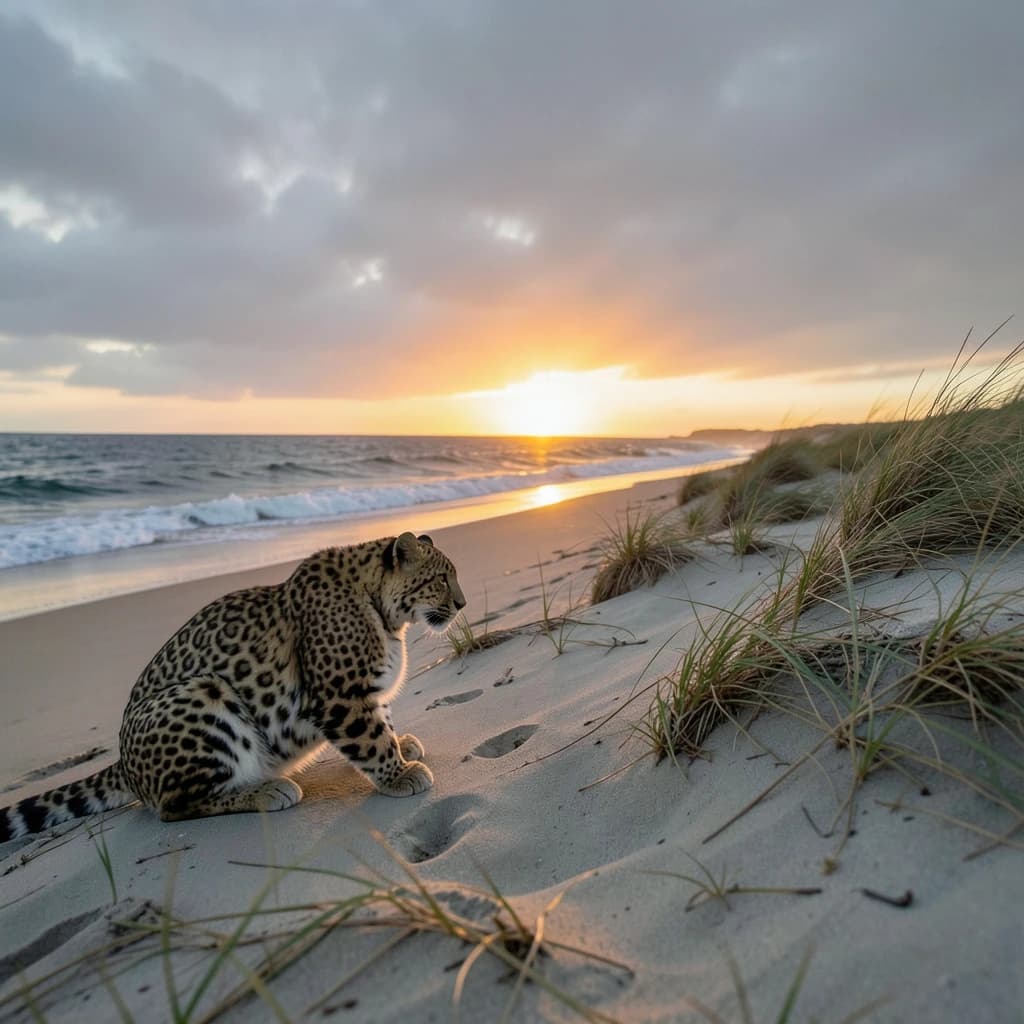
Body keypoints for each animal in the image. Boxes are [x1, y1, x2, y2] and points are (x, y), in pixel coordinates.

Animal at [0, 532, 465, 840]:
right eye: (442, 579)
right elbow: (369, 738)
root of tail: (122, 763)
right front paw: (399, 774)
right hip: (204, 695)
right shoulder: (339, 695)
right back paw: (268, 789)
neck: (386, 613)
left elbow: (383, 722)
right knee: (174, 806)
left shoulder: (364, 689)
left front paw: (402, 745)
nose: (462, 604)